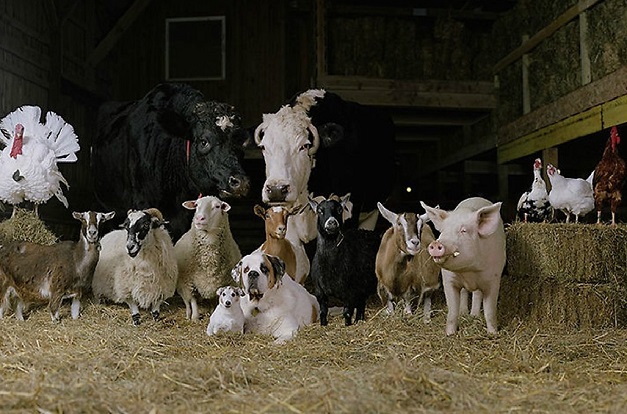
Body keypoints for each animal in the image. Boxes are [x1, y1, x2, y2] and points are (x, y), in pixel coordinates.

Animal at [310, 194, 382, 326]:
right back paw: (359, 320)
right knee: (361, 304)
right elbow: (323, 312)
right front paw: (323, 325)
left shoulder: (350, 292)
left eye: (339, 210)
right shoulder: (319, 292)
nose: (332, 223)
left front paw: (348, 325)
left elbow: (347, 313)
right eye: (320, 211)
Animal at [422, 197, 506, 336]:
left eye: (464, 230)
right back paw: (464, 313)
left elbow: (490, 310)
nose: (435, 244)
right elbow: (452, 310)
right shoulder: (448, 280)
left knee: (477, 294)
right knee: (464, 292)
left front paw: (493, 334)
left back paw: (474, 315)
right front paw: (450, 334)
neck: (468, 271)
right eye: (443, 231)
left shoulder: (493, 279)